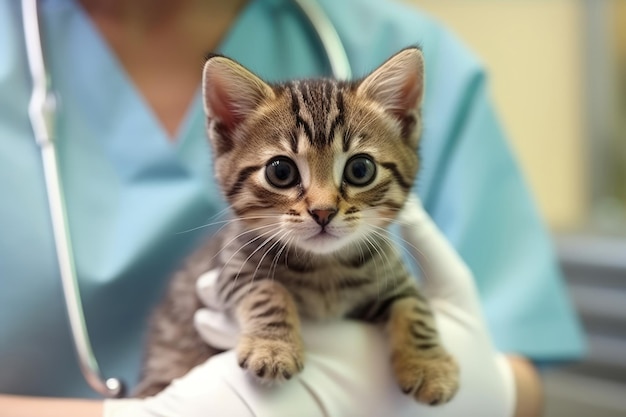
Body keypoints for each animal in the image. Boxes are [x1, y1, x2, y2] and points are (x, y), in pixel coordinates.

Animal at [135, 48, 458, 404]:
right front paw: (273, 348)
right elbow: (267, 290)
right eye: (281, 172)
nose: (323, 211)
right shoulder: (230, 272)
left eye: (360, 169)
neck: (325, 268)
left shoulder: (395, 280)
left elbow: (415, 309)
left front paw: (429, 365)